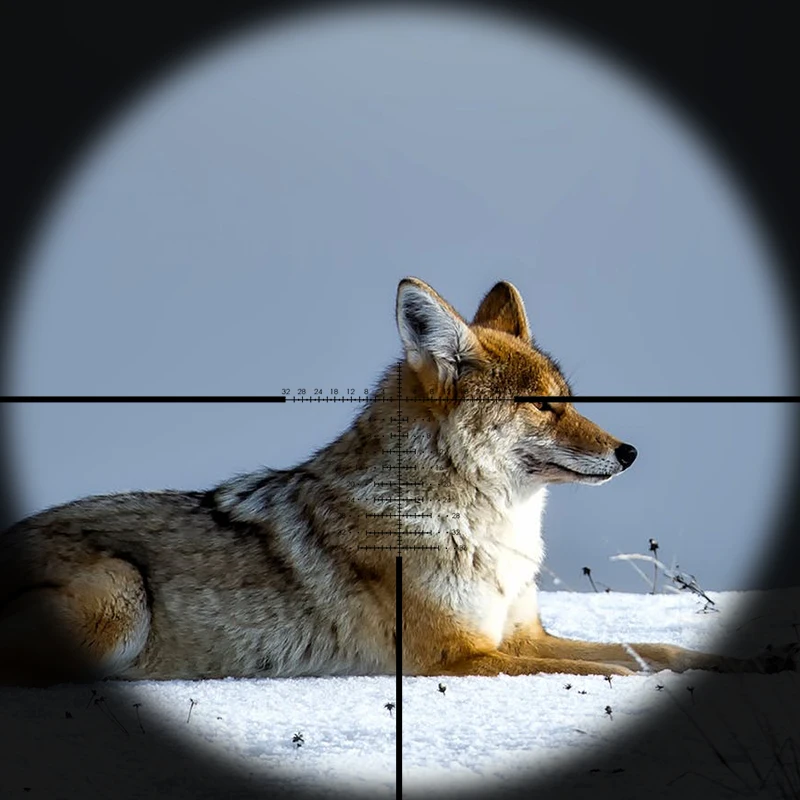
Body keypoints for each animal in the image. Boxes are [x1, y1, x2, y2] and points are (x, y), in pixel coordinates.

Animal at [0, 278, 790, 685]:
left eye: (568, 397)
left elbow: (659, 651)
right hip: (120, 593)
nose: (629, 452)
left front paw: (757, 660)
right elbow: (621, 670)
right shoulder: (460, 655)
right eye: (542, 404)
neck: (491, 534)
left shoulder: (520, 633)